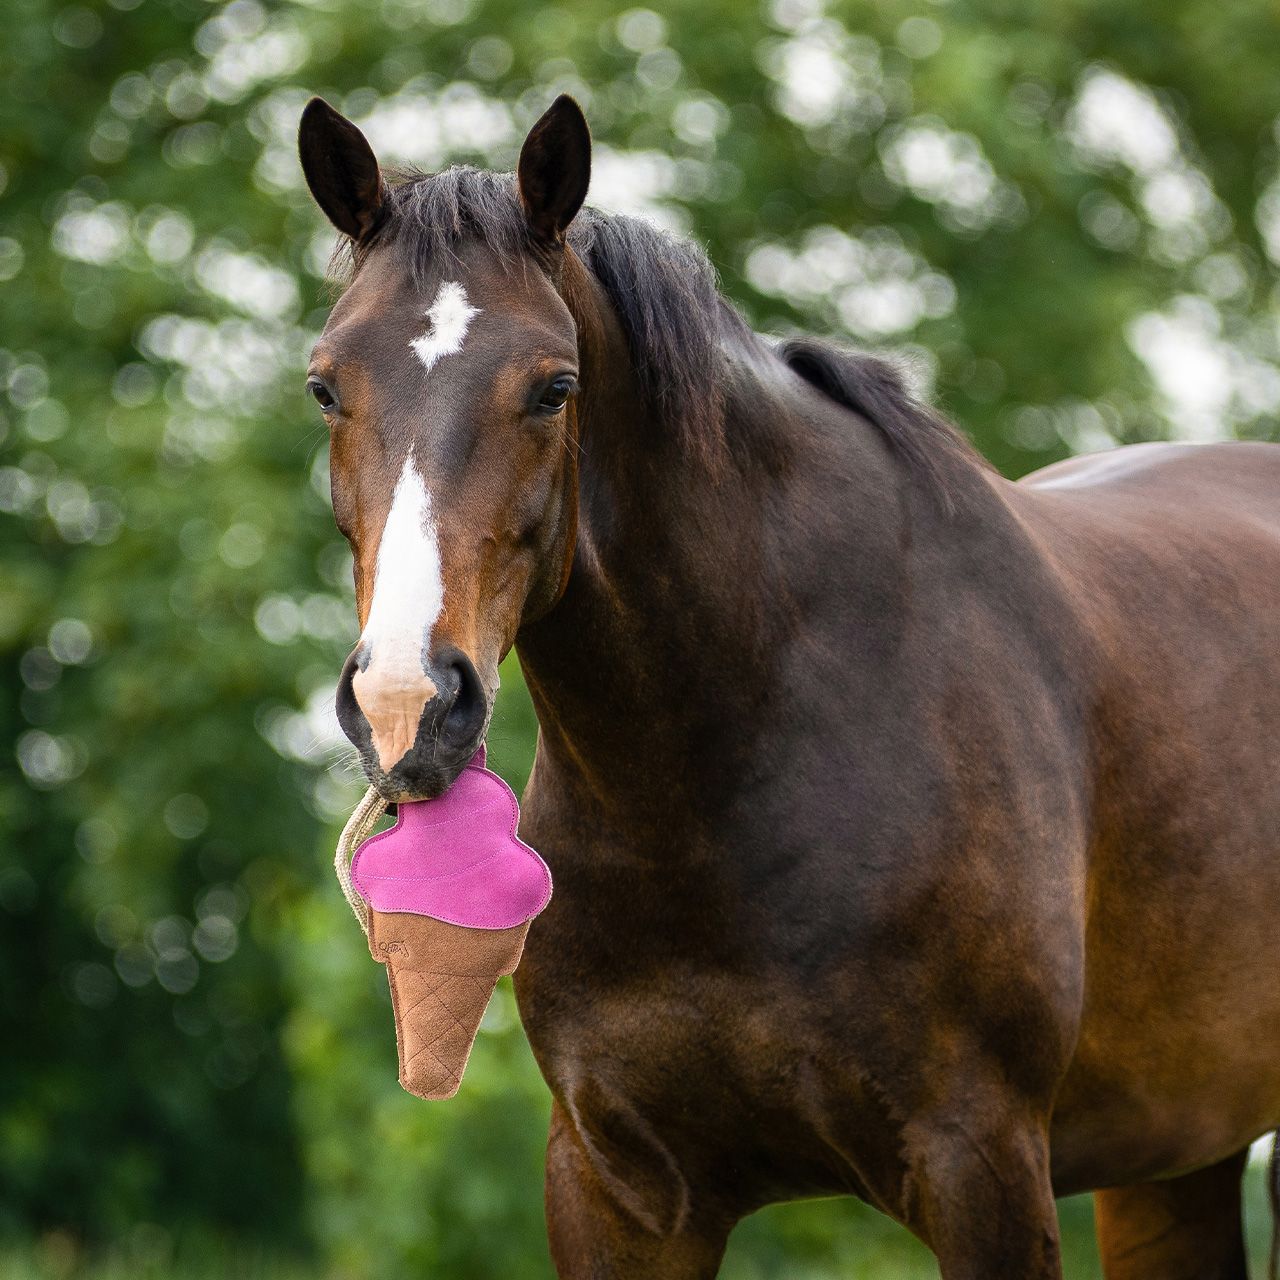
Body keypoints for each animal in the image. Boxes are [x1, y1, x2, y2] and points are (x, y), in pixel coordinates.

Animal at [297, 93, 1280, 1278]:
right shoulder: (617, 1188)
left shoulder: (982, 1163)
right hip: (1171, 1156)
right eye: (324, 386)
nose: (407, 704)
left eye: (554, 387)